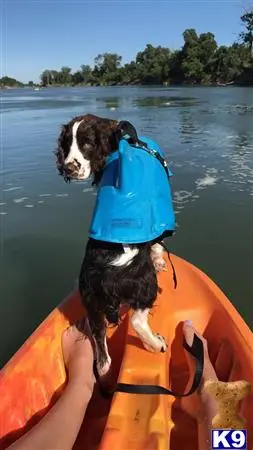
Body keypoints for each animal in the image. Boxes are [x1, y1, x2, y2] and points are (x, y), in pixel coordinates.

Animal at [56, 113, 169, 376]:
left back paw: (103, 367)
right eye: (67, 143)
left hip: (90, 301)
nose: (68, 167)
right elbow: (158, 243)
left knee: (101, 346)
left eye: (87, 143)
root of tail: (105, 276)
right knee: (137, 320)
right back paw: (155, 344)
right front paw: (159, 260)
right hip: (144, 285)